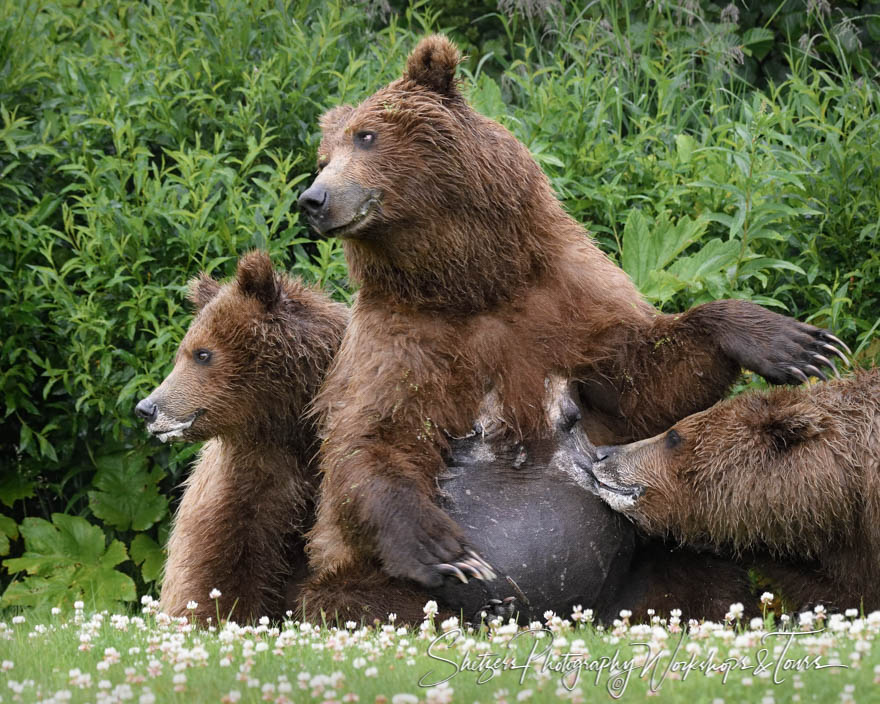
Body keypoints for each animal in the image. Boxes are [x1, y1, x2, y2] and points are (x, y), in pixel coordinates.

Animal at [298, 35, 844, 604]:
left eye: (366, 135)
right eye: (324, 156)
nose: (311, 199)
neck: (472, 285)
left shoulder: (566, 299)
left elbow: (646, 382)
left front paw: (794, 345)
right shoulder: (399, 338)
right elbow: (371, 437)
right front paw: (443, 550)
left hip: (650, 558)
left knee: (698, 572)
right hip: (376, 582)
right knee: (354, 597)